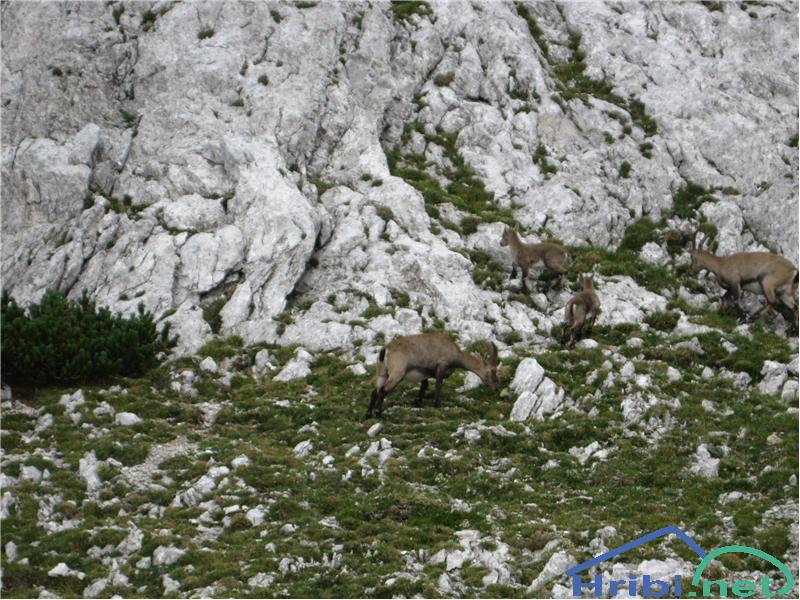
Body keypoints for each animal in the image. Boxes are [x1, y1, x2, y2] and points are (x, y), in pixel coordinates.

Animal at [364, 333, 499, 419]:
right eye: (493, 371)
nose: (497, 388)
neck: (457, 355)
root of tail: (385, 351)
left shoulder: (425, 373)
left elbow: (424, 386)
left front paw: (418, 402)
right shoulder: (441, 367)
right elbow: (438, 385)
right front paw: (436, 404)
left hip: (382, 373)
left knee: (374, 391)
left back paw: (368, 415)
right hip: (397, 373)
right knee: (383, 390)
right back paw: (378, 413)